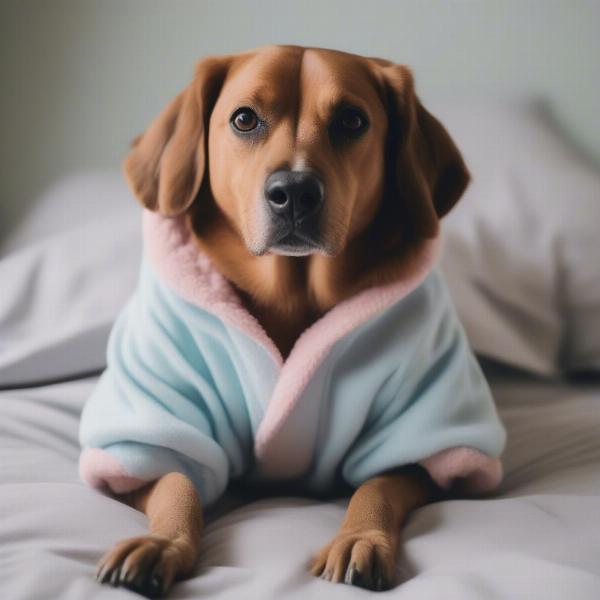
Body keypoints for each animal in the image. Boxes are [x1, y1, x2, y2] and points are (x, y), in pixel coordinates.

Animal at [78, 45, 502, 596]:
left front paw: (361, 537)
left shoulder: (423, 438)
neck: (293, 294)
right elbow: (176, 481)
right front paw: (163, 541)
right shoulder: (152, 428)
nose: (295, 191)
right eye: (244, 119)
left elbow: (378, 486)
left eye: (351, 120)